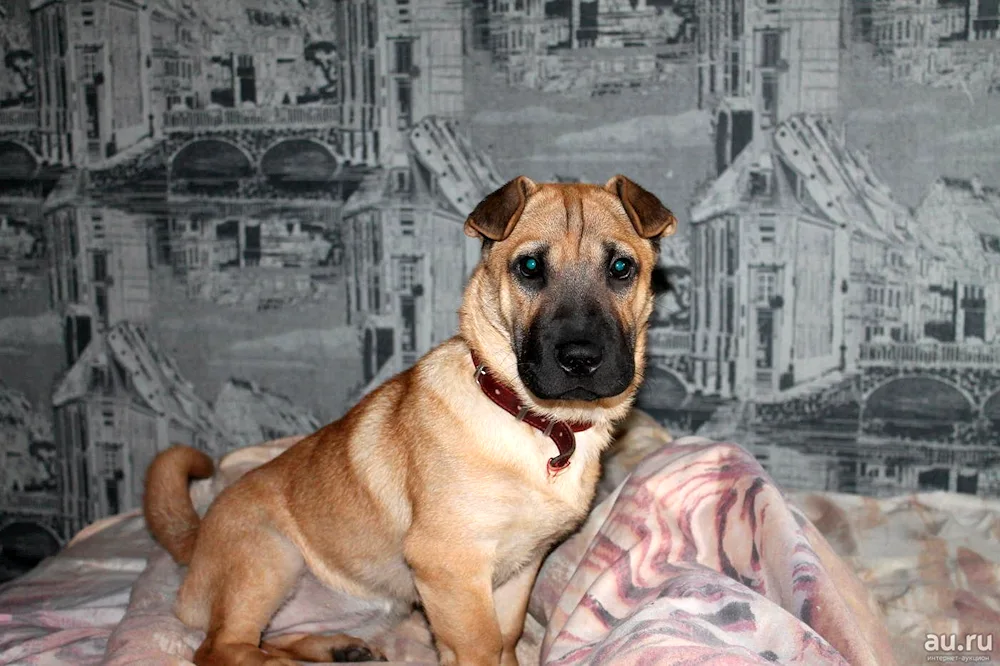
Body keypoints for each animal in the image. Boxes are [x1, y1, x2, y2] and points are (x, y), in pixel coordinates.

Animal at [145, 175, 680, 664]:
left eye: (620, 268)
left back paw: (337, 648)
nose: (580, 359)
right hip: (269, 557)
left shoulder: (519, 568)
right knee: (223, 649)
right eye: (529, 267)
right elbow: (483, 647)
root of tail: (195, 544)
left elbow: (507, 643)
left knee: (268, 639)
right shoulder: (450, 569)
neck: (539, 423)